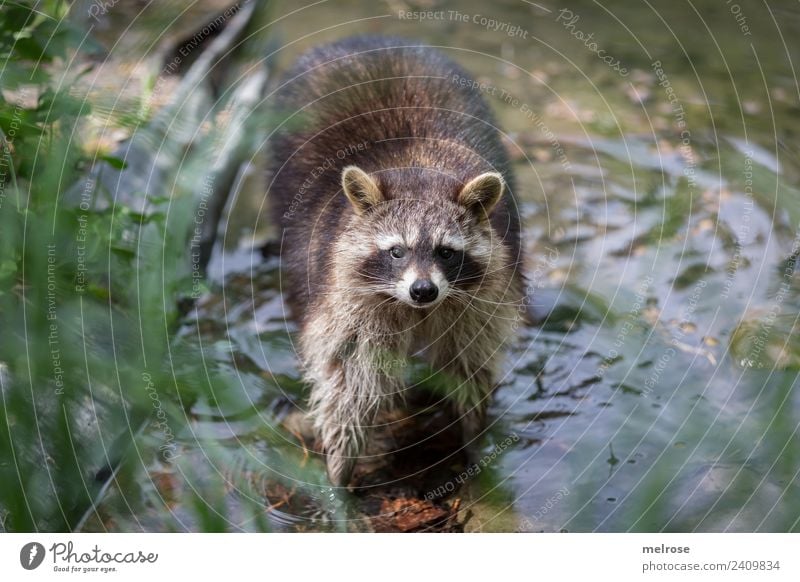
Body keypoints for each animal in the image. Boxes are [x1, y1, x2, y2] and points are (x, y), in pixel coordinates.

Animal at [268, 34, 524, 486]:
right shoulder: (348, 299)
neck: (418, 168)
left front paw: (473, 435)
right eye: (396, 251)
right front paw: (341, 468)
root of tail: (362, 39)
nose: (423, 290)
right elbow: (350, 377)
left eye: (445, 251)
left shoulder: (482, 296)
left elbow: (470, 361)